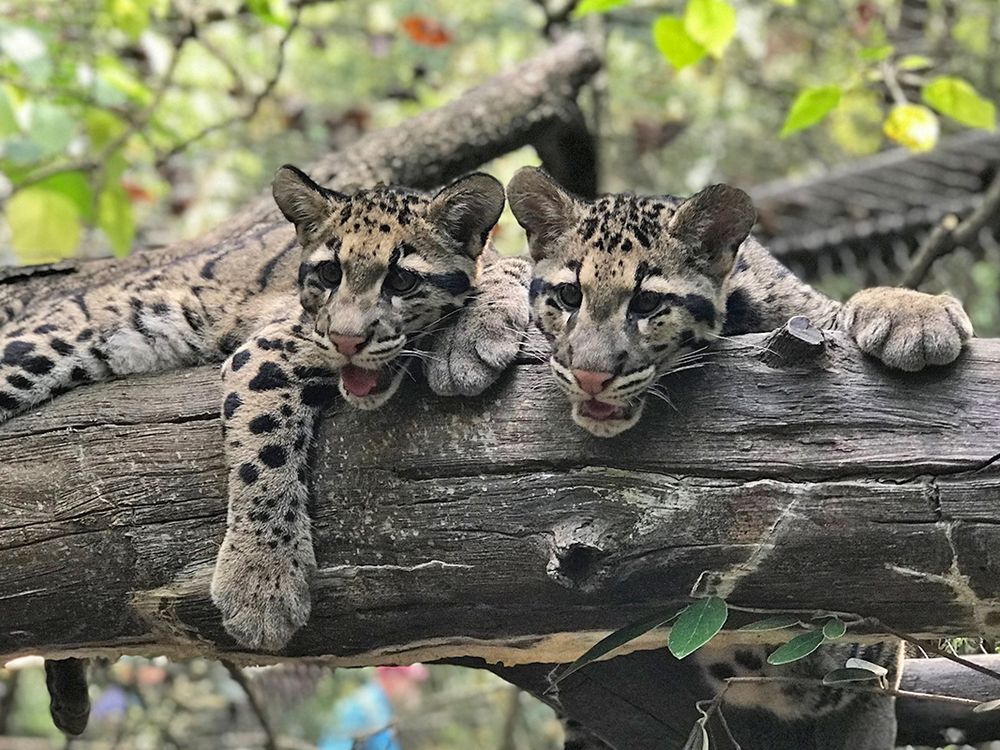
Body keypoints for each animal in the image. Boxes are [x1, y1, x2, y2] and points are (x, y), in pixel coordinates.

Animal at [1, 166, 532, 736]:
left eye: (402, 281)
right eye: (328, 274)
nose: (345, 340)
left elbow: (523, 266)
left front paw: (478, 325)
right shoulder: (267, 348)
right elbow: (265, 455)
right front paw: (261, 582)